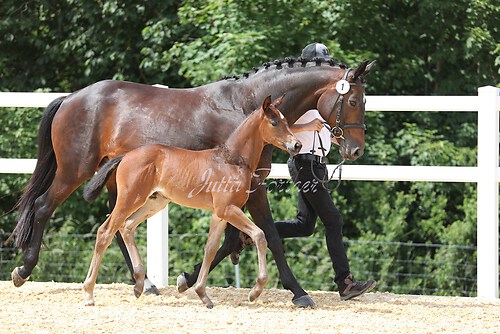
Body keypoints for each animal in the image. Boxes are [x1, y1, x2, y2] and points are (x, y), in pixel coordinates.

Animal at [82, 96, 300, 308]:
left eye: (286, 121)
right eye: (274, 122)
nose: (296, 145)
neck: (232, 161)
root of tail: (126, 155)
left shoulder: (219, 214)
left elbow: (210, 249)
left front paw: (203, 295)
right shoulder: (228, 209)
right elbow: (260, 235)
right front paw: (255, 291)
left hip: (155, 202)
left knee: (127, 226)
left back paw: (138, 285)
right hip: (129, 198)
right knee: (106, 231)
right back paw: (89, 293)